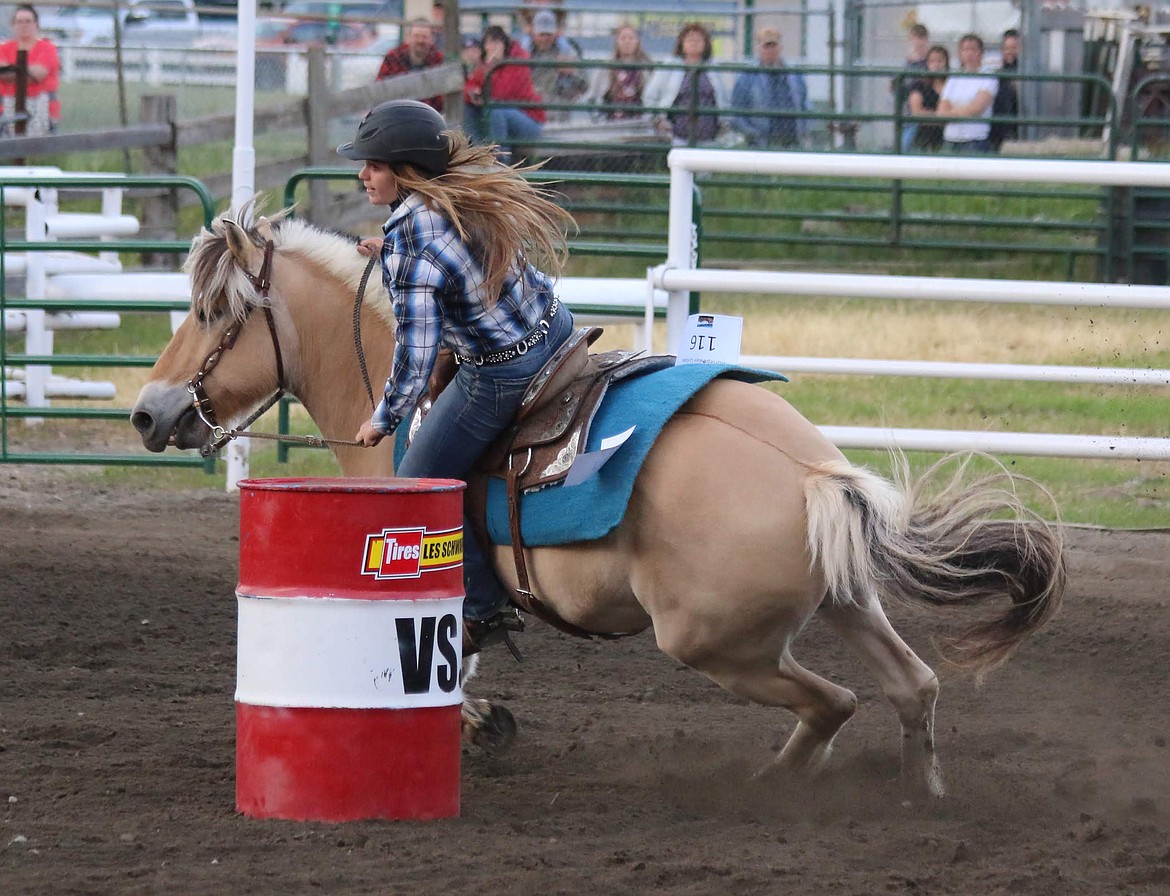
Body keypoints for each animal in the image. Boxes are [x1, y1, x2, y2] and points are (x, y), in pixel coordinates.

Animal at [132, 205, 1067, 800]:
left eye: (211, 310)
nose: (147, 412)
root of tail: (814, 476)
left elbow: (449, 651)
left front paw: (481, 725)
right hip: (845, 599)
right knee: (915, 687)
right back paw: (920, 798)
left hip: (714, 641)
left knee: (835, 703)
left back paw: (771, 786)